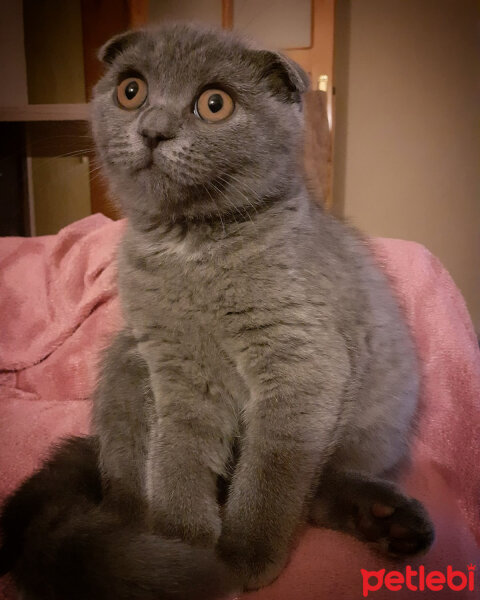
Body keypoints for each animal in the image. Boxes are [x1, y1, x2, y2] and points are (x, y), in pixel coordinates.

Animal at [0, 21, 434, 596]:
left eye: (214, 104)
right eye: (131, 90)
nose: (154, 130)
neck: (191, 251)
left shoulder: (301, 362)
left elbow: (273, 469)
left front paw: (243, 555)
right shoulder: (174, 368)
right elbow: (178, 456)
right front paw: (187, 545)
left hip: (376, 419)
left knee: (316, 487)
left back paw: (387, 520)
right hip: (125, 361)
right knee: (124, 491)